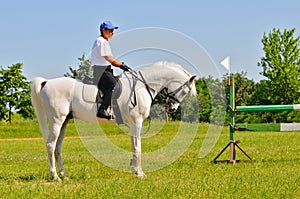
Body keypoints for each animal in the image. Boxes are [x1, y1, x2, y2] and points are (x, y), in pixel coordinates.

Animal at [31, 61, 197, 180]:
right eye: (185, 90)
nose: (171, 108)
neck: (142, 86)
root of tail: (47, 82)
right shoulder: (136, 123)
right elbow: (137, 147)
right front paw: (140, 173)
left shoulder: (135, 125)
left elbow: (134, 146)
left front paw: (135, 170)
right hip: (57, 120)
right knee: (50, 145)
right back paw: (55, 176)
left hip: (64, 121)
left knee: (58, 147)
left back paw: (65, 175)